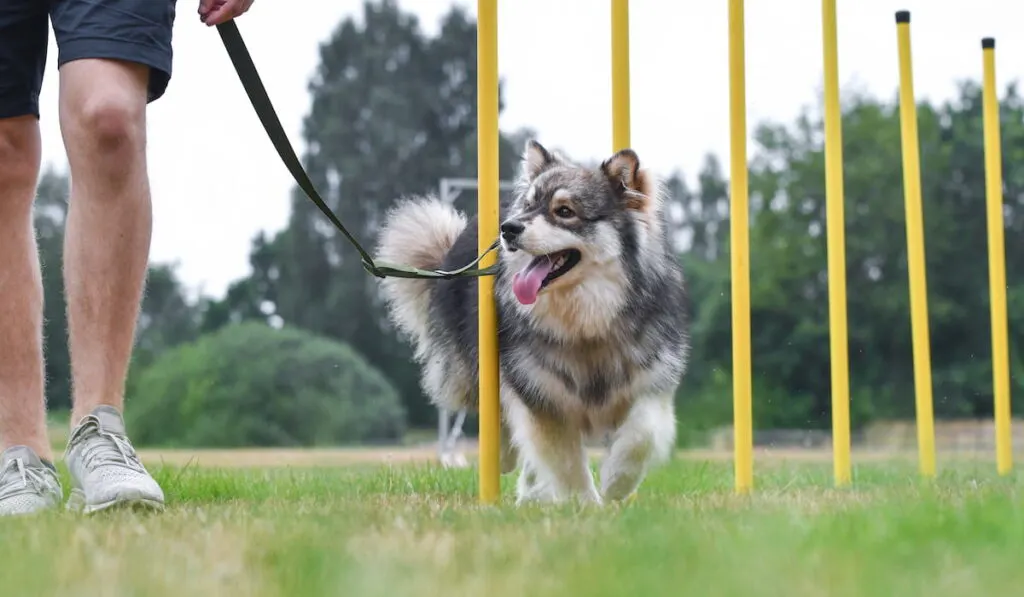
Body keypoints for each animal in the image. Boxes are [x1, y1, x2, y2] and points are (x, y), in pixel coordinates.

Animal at [374, 139, 688, 503]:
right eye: (528, 205)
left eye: (564, 211)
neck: (586, 323)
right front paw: (586, 505)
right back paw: (507, 462)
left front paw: (616, 482)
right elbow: (567, 465)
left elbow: (642, 436)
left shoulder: (651, 383)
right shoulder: (541, 397)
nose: (509, 228)